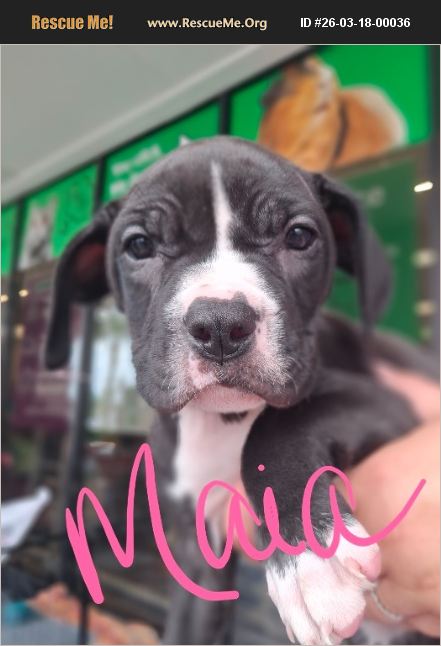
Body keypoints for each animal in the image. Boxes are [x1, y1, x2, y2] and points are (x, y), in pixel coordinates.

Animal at [45, 136, 436, 645]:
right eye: (139, 245)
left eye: (299, 236)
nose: (219, 325)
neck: (224, 422)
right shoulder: (199, 555)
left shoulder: (389, 403)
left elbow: (277, 429)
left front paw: (310, 560)